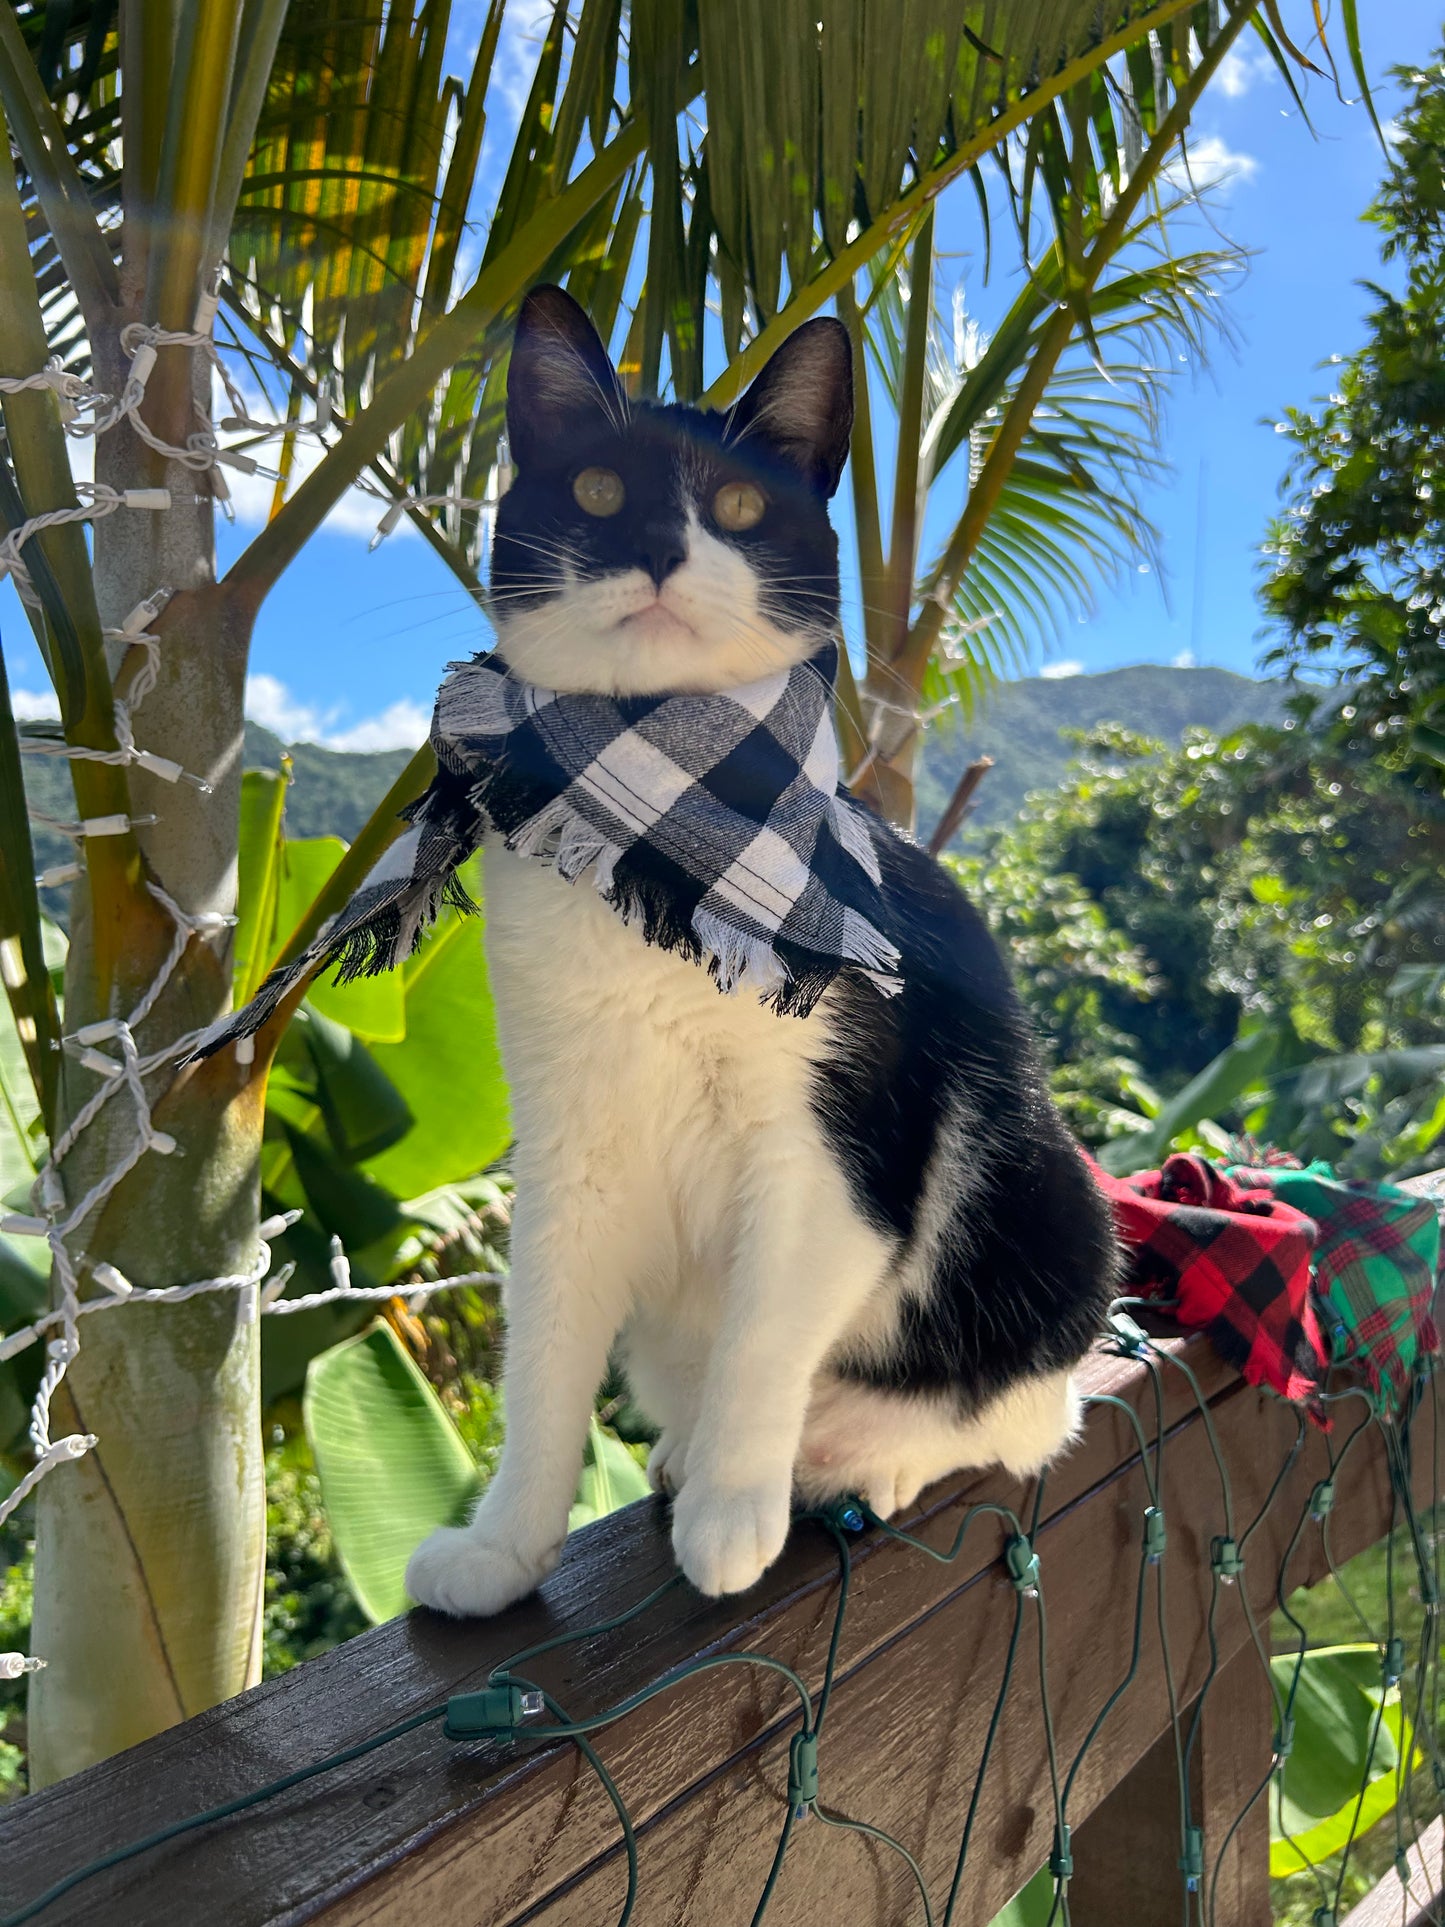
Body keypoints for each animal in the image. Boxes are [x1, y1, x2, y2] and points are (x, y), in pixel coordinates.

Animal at [404, 285, 1117, 1610]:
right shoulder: (567, 1147)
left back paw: (847, 1450)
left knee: (1018, 1413)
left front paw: (734, 1514)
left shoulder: (831, 1154)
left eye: (737, 507)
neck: (660, 834)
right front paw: (505, 1547)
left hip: (1052, 1203)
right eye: (594, 490)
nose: (658, 550)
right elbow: (543, 1356)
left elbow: (763, 1335)